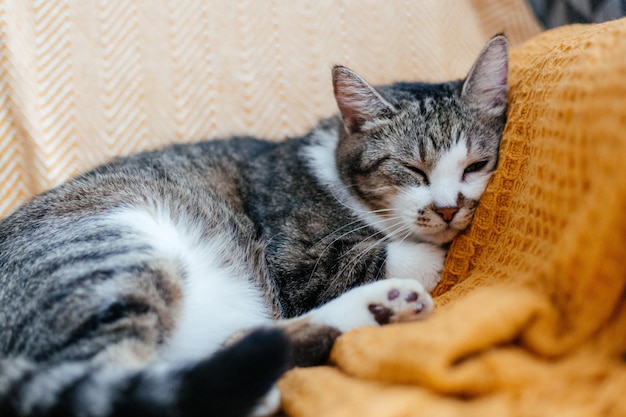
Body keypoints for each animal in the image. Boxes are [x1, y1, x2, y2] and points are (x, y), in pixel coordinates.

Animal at [0, 35, 508, 416]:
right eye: (412, 170)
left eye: (476, 166)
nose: (448, 208)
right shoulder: (299, 262)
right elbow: (393, 255)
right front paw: (426, 252)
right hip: (116, 251)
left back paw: (381, 309)